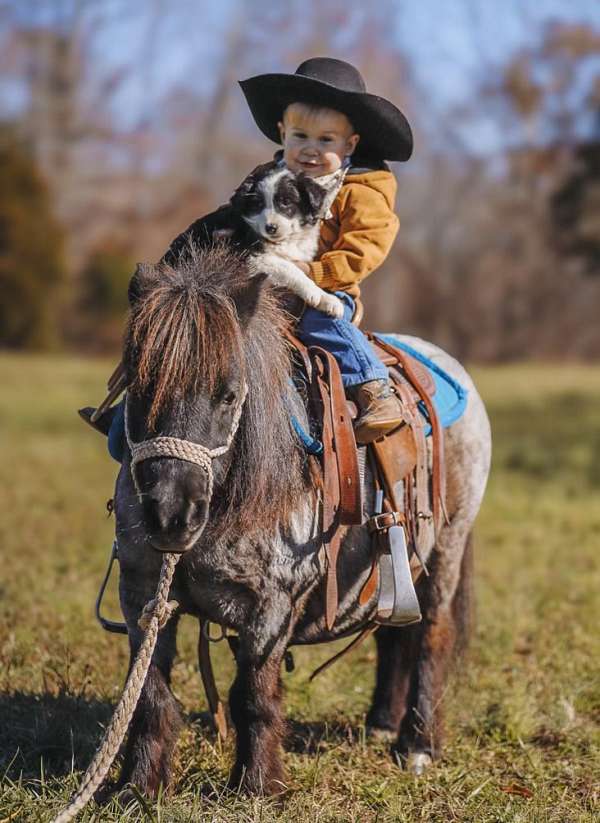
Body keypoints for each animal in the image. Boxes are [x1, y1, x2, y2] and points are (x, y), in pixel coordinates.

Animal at [168, 162, 346, 318]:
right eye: (258, 204)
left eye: (286, 201)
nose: (270, 228)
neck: (286, 240)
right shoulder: (252, 257)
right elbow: (291, 269)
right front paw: (315, 293)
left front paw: (328, 301)